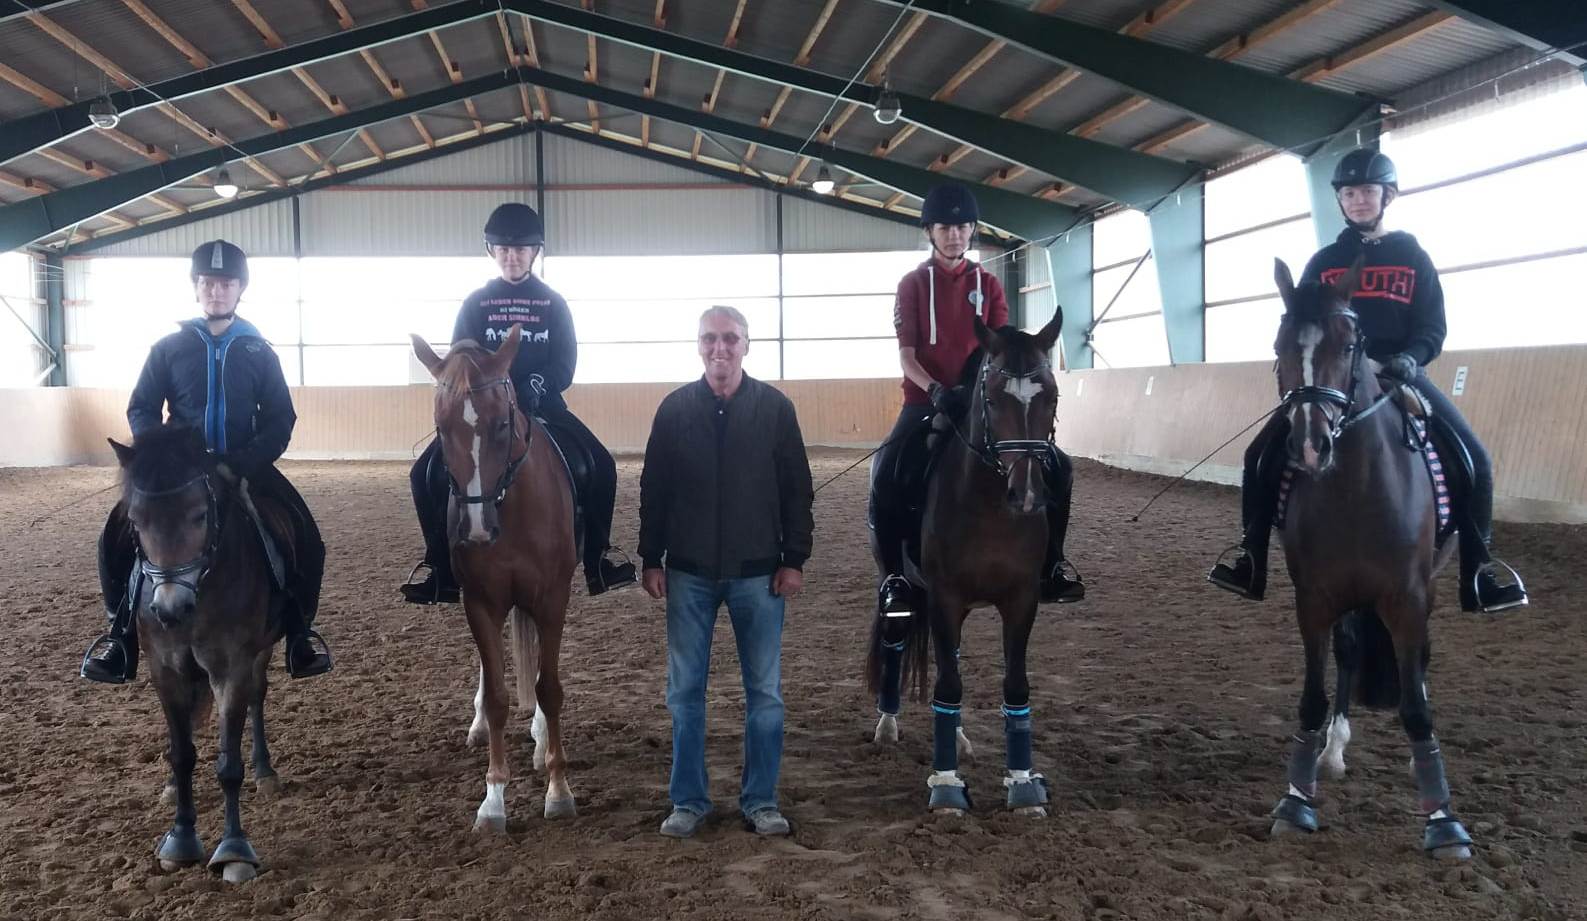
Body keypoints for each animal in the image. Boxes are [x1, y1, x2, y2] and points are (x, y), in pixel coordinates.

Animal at [107, 428, 288, 882]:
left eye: (199, 516)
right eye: (136, 521)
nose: (170, 609)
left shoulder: (232, 669)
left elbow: (229, 765)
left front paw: (235, 849)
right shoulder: (164, 669)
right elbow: (183, 753)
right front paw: (181, 838)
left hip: (260, 652)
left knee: (258, 696)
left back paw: (265, 771)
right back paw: (172, 788)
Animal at [412, 325, 580, 832]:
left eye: (502, 425)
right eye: (441, 428)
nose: (478, 529)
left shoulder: (552, 598)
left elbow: (549, 688)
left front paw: (558, 790)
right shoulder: (480, 601)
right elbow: (499, 697)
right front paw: (493, 801)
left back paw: (542, 742)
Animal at [869, 312, 1066, 819]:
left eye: (1052, 396)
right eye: (992, 399)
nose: (1028, 494)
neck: (991, 508)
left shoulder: (1022, 599)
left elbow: (1014, 686)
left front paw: (1023, 786)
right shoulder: (944, 598)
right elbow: (948, 686)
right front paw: (946, 789)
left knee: (950, 657)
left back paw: (957, 739)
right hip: (902, 586)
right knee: (898, 641)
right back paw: (887, 725)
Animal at [1263, 255, 1472, 857]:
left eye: (1351, 342)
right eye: (1280, 344)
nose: (1312, 446)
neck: (1355, 485)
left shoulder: (1408, 596)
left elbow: (1416, 704)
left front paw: (1443, 823)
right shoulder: (1313, 599)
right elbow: (1313, 695)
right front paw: (1296, 802)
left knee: (1418, 662)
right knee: (1352, 650)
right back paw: (1333, 749)